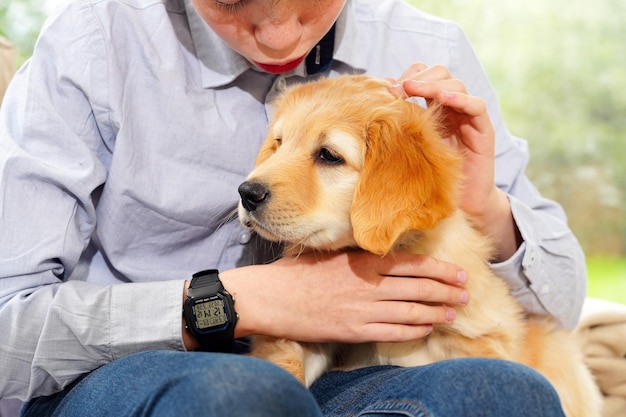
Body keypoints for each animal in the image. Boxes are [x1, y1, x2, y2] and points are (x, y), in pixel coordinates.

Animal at [238, 75, 600, 416]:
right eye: (279, 144)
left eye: (329, 155)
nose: (247, 193)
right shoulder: (304, 329)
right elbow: (284, 365)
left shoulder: (476, 340)